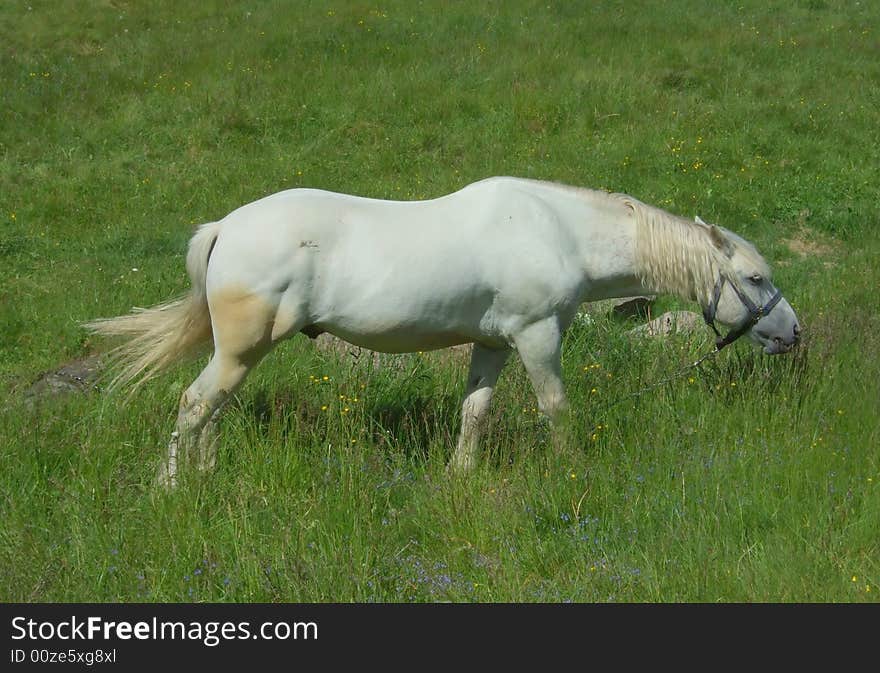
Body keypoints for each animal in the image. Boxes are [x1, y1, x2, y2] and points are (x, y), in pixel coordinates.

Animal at [86, 178, 800, 484]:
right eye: (756, 278)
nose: (792, 335)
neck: (558, 230)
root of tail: (226, 227)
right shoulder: (537, 337)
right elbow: (557, 407)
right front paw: (572, 469)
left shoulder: (494, 345)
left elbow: (475, 412)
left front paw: (460, 476)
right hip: (242, 349)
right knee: (194, 405)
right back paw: (172, 486)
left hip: (242, 353)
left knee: (212, 410)